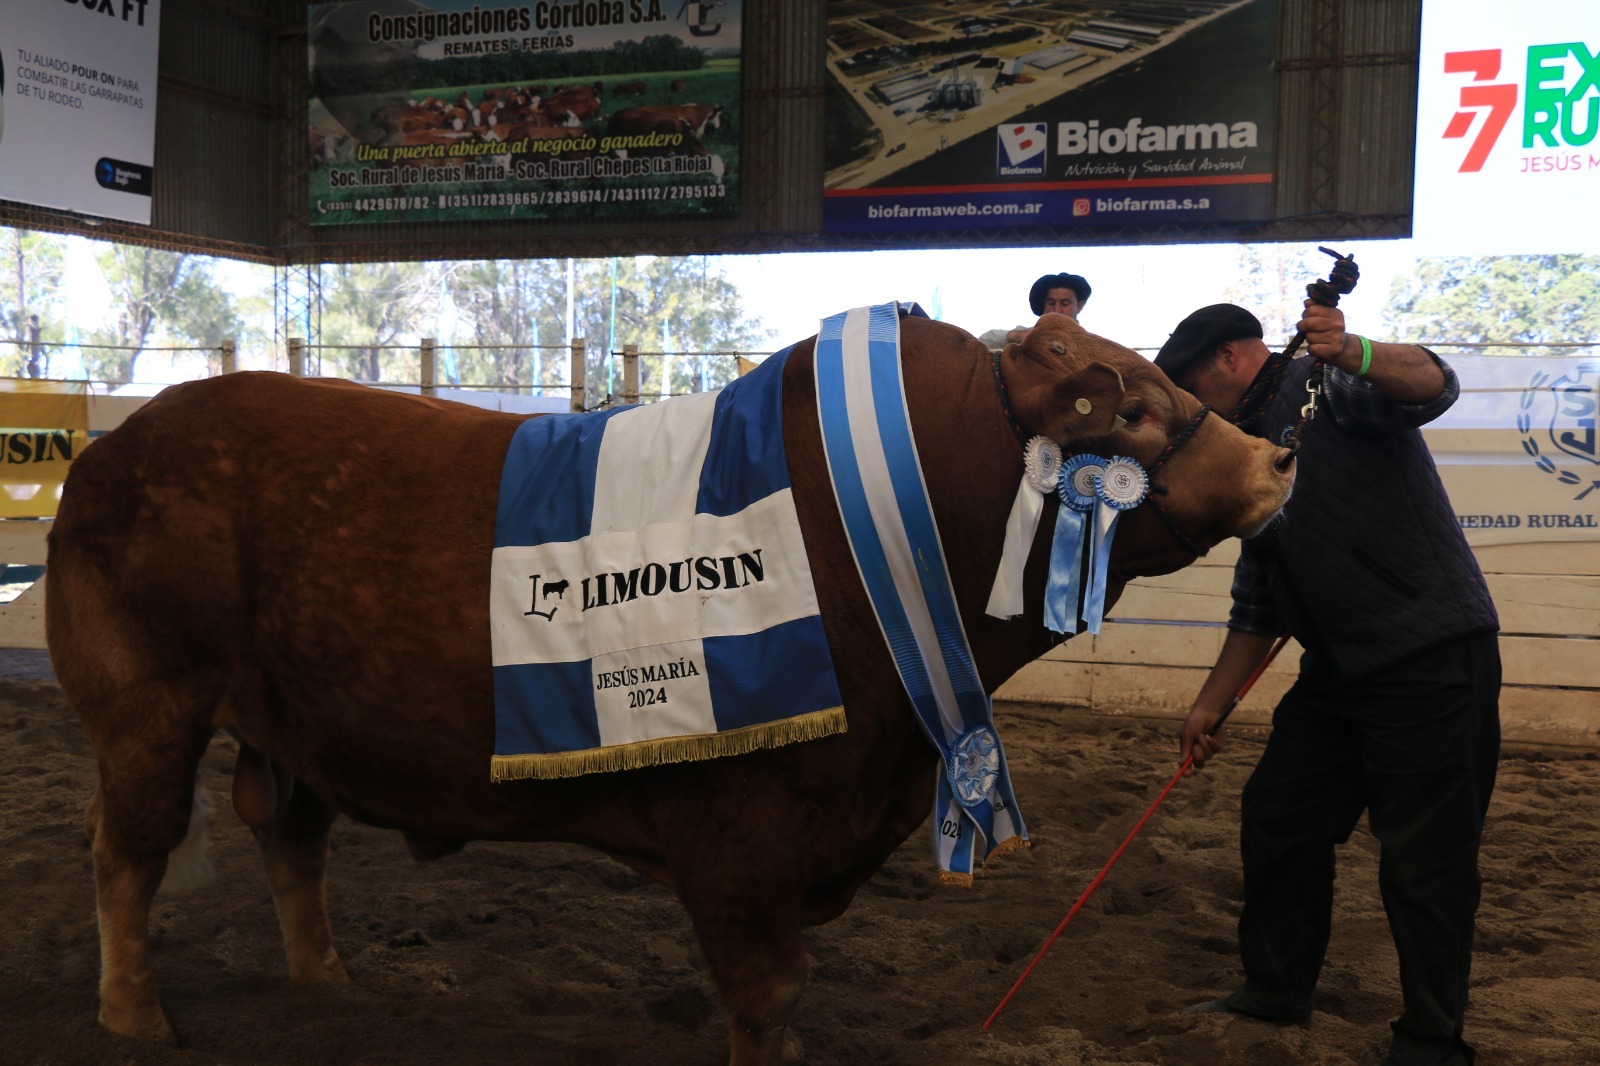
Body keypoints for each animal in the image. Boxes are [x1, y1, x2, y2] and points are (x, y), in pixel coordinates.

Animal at [50, 312, 1292, 1056]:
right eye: (1130, 406)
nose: (1278, 458)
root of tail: (117, 447)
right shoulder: (743, 828)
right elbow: (767, 985)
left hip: (293, 719)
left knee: (291, 838)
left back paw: (325, 984)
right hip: (149, 704)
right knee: (127, 848)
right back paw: (134, 1013)